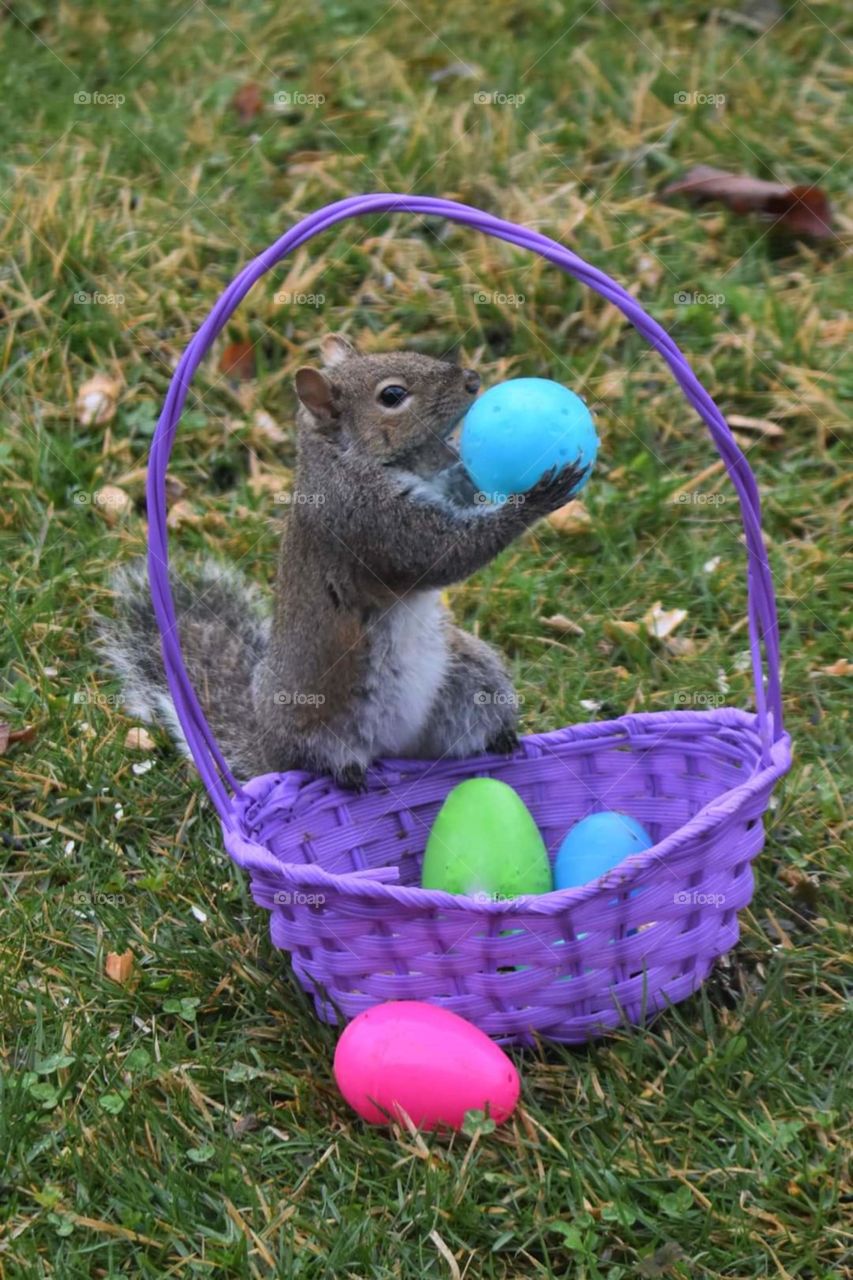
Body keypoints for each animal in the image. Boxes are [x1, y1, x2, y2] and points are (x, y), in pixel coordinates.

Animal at [102, 334, 586, 790]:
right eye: (392, 396)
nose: (472, 379)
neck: (351, 461)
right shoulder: (366, 521)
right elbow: (441, 557)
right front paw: (534, 501)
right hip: (317, 727)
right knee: (321, 762)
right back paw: (349, 775)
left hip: (473, 677)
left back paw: (501, 741)